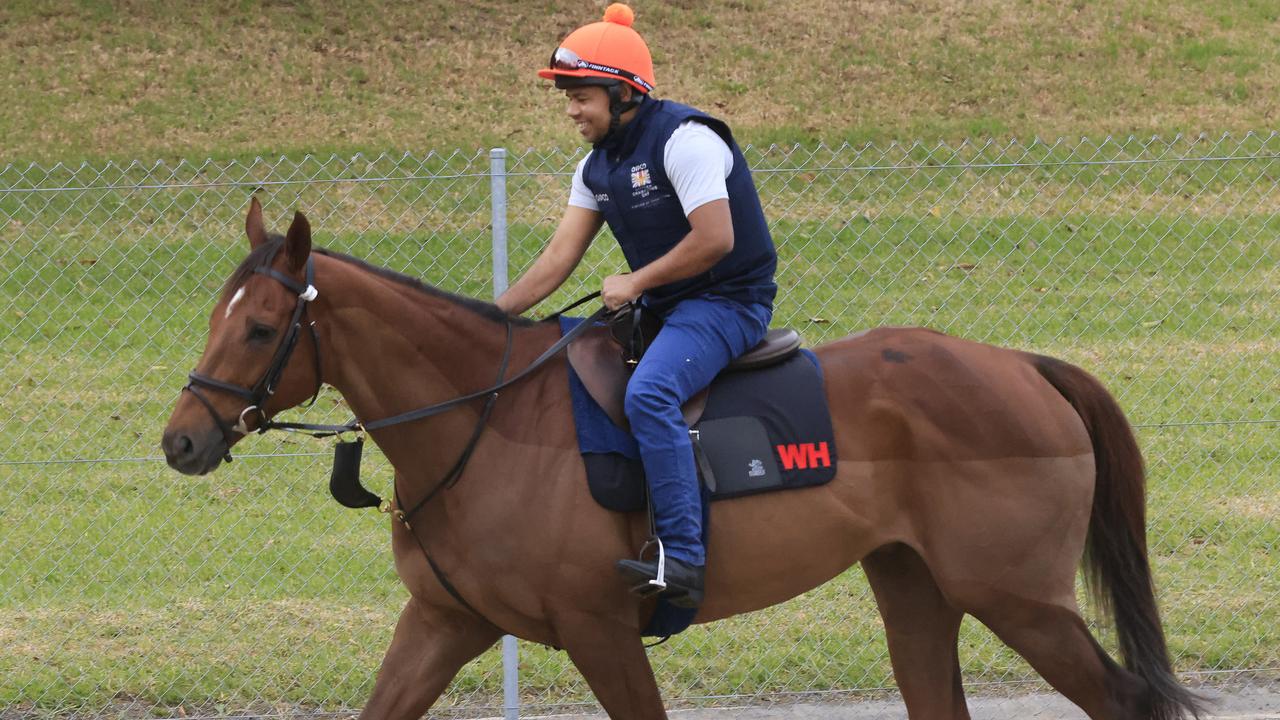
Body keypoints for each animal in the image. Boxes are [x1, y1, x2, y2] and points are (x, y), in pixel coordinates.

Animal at [160, 203, 1198, 717]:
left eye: (261, 328)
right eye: (214, 315)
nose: (181, 438)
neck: (482, 421)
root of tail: (1020, 364)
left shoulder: (601, 634)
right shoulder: (444, 623)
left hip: (1020, 601)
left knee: (1125, 701)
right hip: (918, 591)